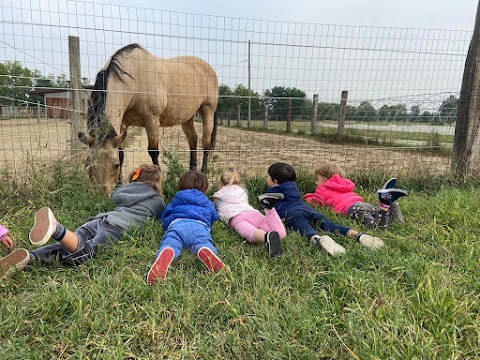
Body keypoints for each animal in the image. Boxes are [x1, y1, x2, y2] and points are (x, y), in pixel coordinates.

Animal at [79, 43, 219, 193]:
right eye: (88, 163)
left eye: (115, 165)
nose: (101, 194)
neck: (134, 80)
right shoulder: (122, 124)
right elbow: (121, 153)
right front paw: (119, 185)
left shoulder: (151, 120)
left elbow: (153, 152)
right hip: (187, 118)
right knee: (193, 139)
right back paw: (192, 171)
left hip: (208, 111)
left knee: (206, 143)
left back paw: (203, 174)